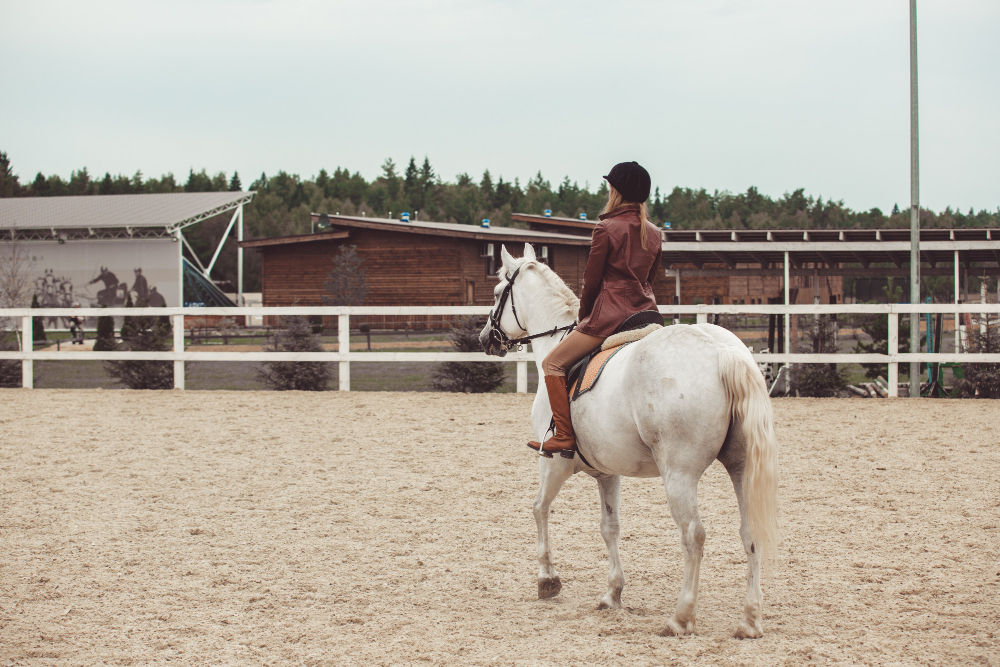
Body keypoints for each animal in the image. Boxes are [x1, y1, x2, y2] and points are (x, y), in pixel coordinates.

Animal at [479, 243, 779, 638]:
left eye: (498, 292)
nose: (485, 339)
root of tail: (722, 351)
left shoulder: (553, 462)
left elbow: (539, 508)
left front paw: (547, 579)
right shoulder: (608, 472)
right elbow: (610, 528)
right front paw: (613, 594)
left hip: (679, 475)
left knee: (693, 536)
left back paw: (681, 617)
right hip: (741, 468)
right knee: (750, 531)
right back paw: (750, 619)